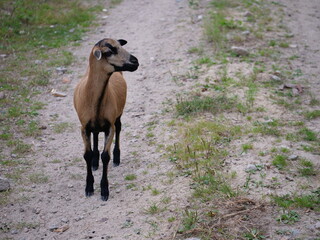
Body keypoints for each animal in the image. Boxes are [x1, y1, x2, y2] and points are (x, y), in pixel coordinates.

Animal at [75, 38, 140, 201]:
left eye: (120, 46)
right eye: (109, 52)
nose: (135, 61)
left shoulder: (109, 126)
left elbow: (106, 156)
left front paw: (104, 190)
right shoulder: (84, 127)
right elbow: (87, 155)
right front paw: (89, 188)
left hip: (118, 115)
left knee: (119, 128)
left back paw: (116, 158)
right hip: (95, 126)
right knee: (95, 135)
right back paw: (94, 162)